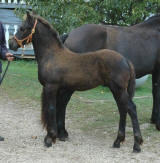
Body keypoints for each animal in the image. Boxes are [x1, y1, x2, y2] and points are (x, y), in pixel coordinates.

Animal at [9, 12, 142, 152]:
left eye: (23, 28)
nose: (11, 43)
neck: (52, 55)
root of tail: (126, 60)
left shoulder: (51, 87)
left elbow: (51, 109)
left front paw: (50, 138)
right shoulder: (59, 89)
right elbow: (58, 108)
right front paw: (57, 135)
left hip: (119, 90)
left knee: (131, 109)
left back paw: (136, 145)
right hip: (116, 90)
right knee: (123, 109)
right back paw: (118, 141)